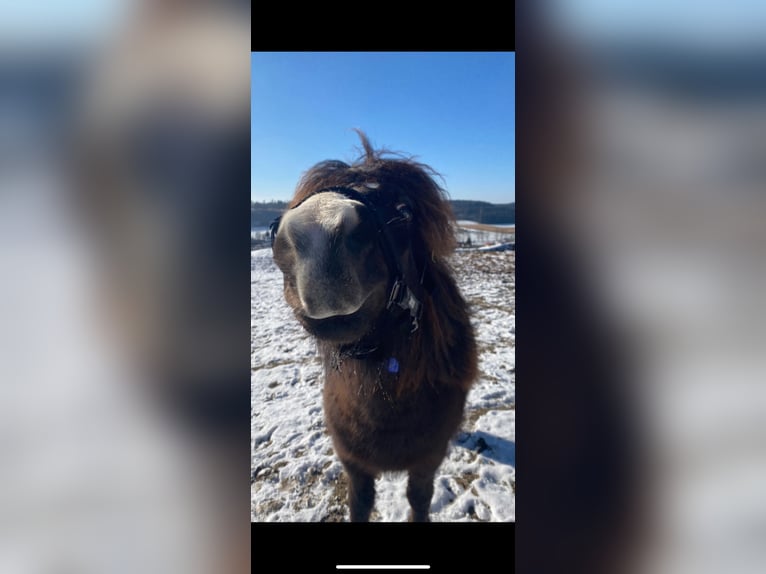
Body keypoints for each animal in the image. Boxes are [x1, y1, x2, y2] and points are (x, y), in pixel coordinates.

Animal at [271, 131, 478, 521]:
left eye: (404, 211)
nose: (318, 230)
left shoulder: (427, 461)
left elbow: (420, 500)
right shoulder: (354, 463)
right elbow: (360, 502)